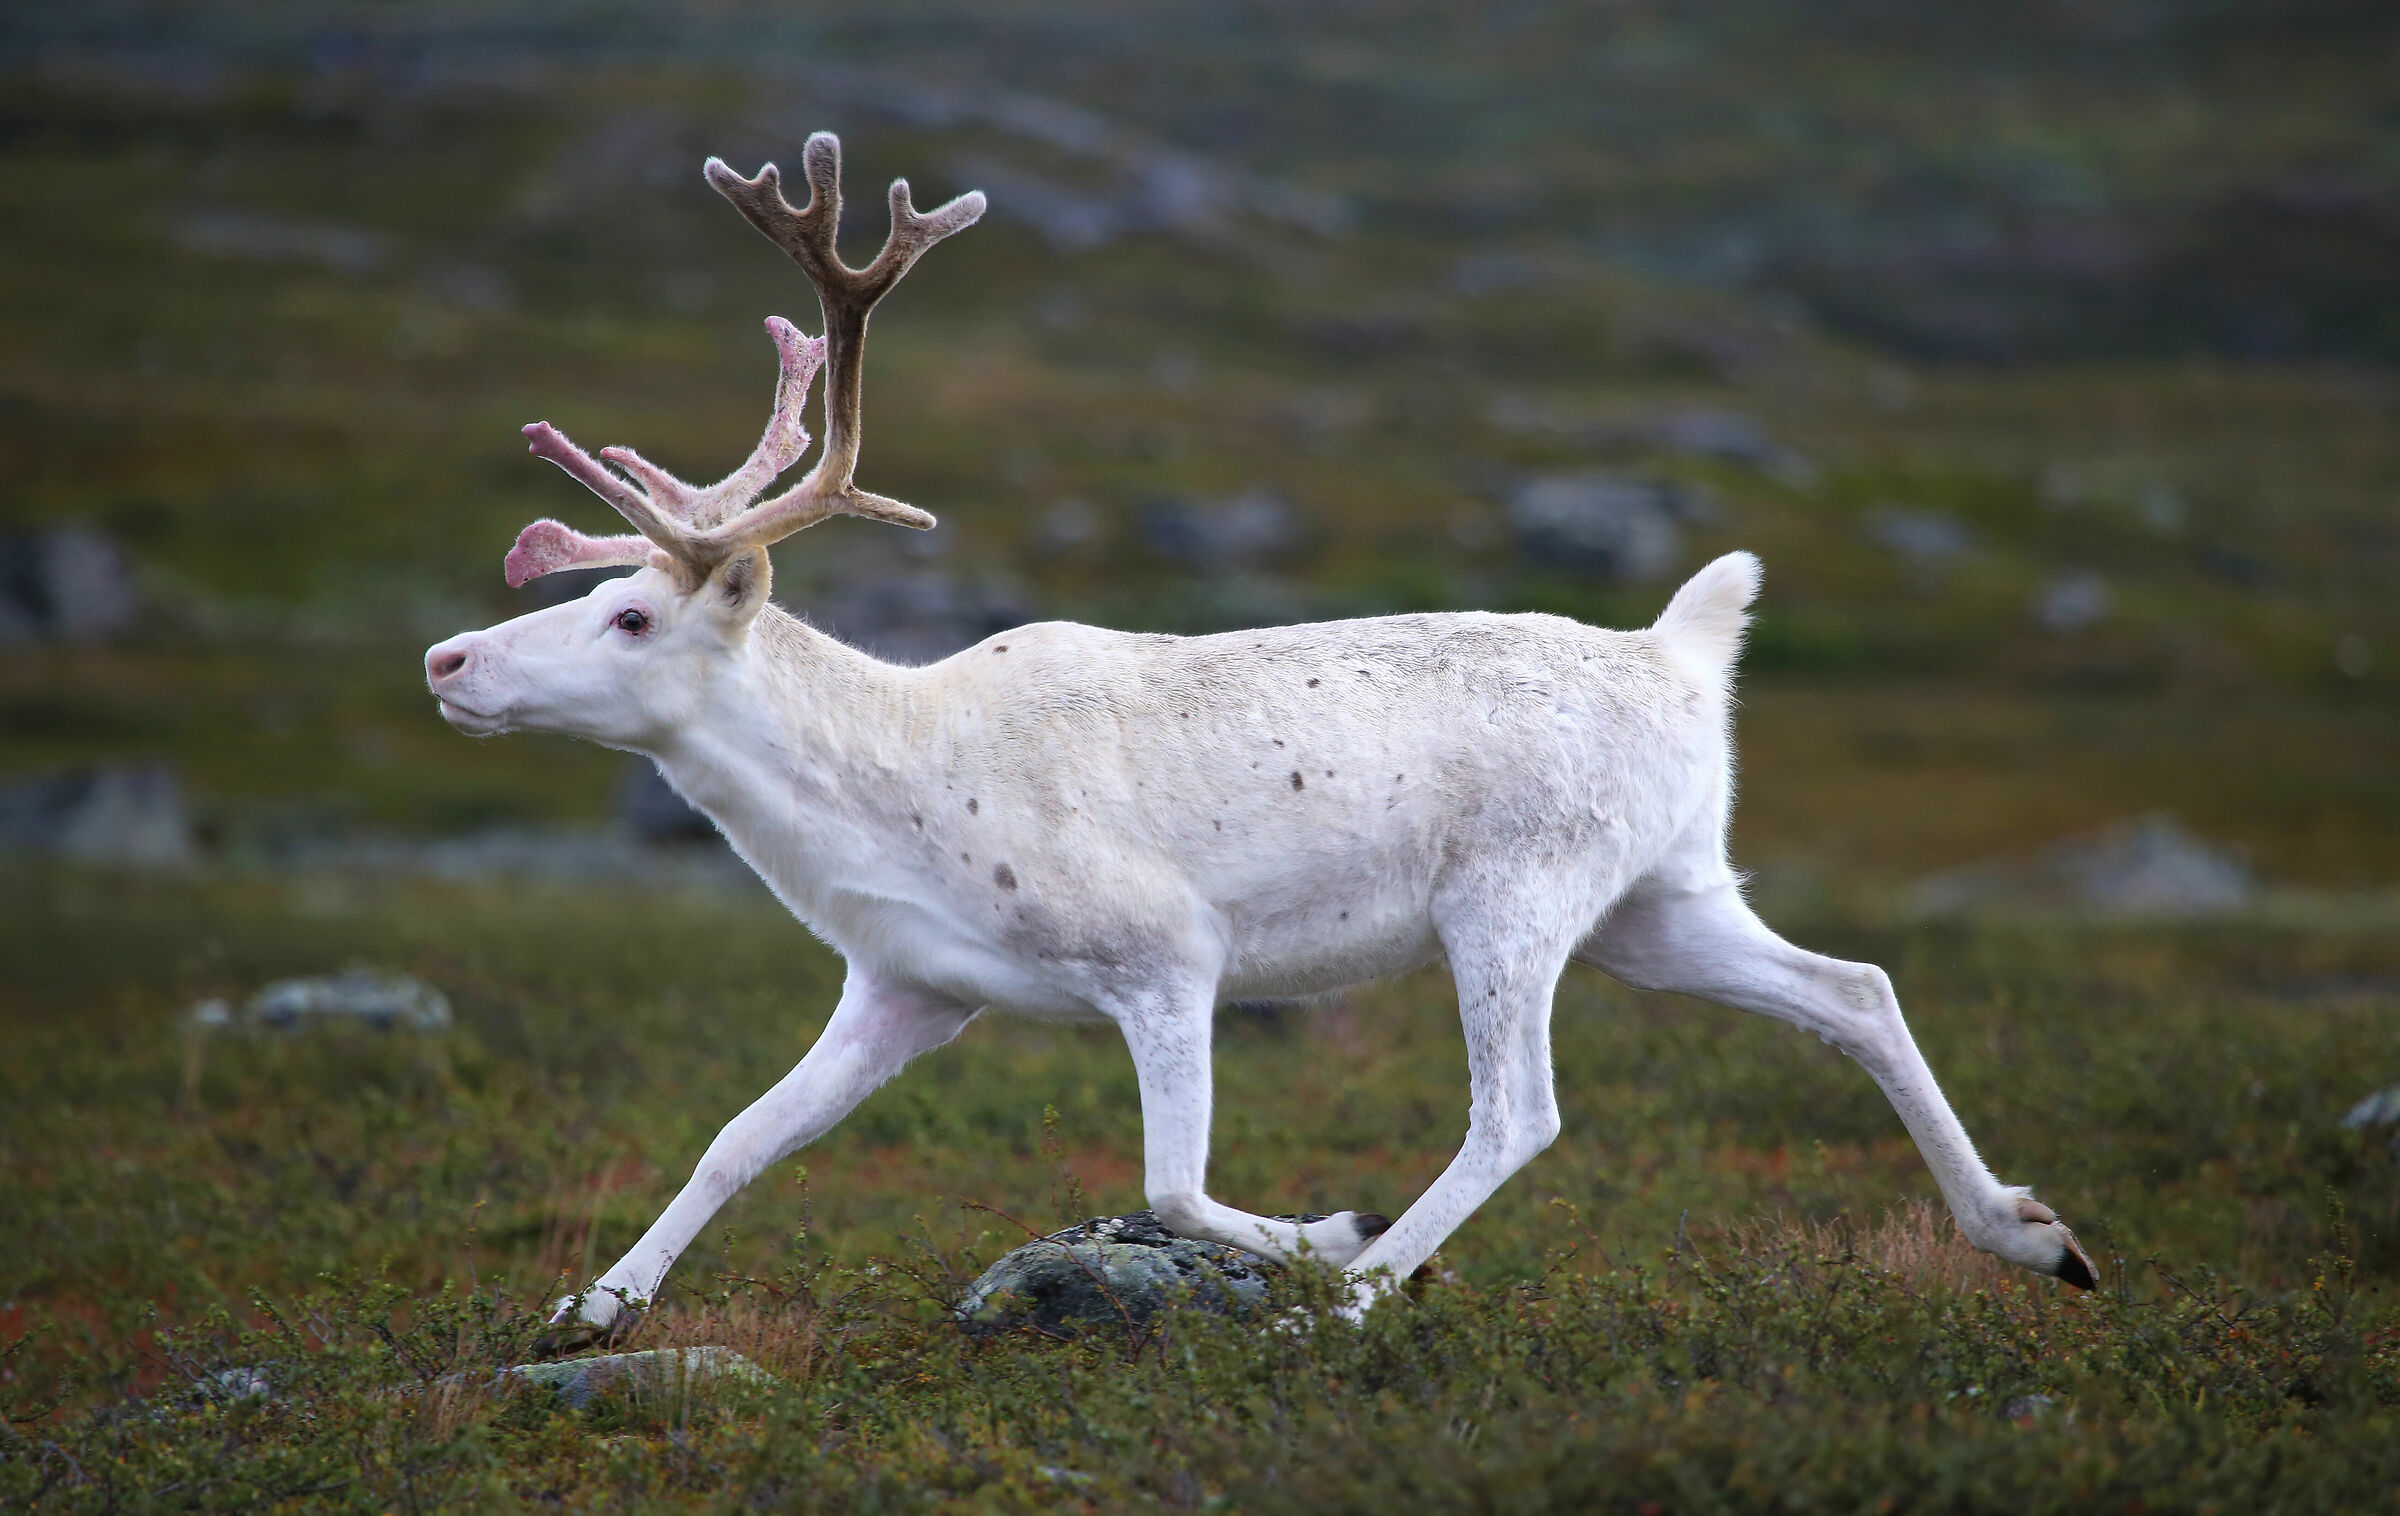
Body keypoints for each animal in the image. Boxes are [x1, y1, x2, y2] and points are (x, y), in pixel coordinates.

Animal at [423, 133, 2097, 1338]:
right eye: (598, 592)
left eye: (635, 619)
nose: (447, 656)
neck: (881, 790)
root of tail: (1687, 650)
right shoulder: (907, 986)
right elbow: (736, 1137)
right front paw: (592, 1306)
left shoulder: (1170, 954)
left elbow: (1169, 1184)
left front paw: (1327, 1235)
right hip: (1662, 896)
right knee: (1854, 988)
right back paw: (2033, 1234)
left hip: (1517, 894)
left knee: (1522, 1111)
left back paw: (1355, 1297)